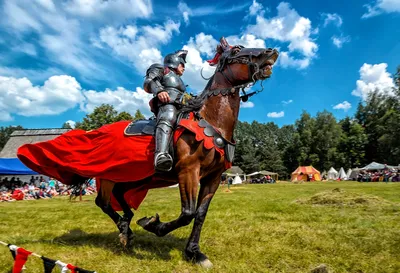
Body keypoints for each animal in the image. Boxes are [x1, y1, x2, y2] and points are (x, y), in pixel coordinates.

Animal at [18, 36, 278, 268]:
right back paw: (126, 227)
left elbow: (200, 214)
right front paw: (154, 225)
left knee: (119, 197)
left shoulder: (212, 178)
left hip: (133, 177)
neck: (210, 121)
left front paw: (194, 252)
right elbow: (188, 213)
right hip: (108, 176)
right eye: (236, 51)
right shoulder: (188, 172)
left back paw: (126, 225)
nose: (271, 52)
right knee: (103, 202)